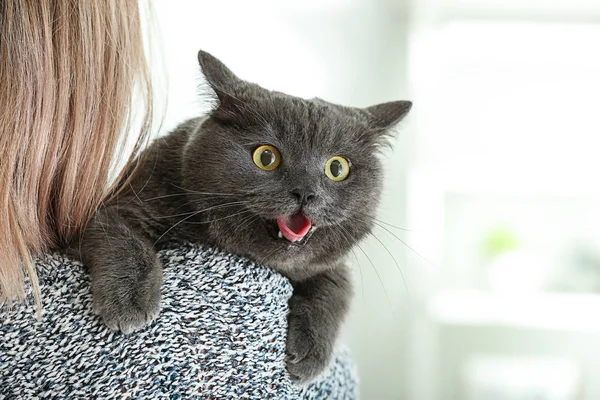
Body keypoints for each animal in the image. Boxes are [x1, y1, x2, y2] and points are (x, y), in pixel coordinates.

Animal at [79, 50, 412, 384]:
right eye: (266, 157)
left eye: (337, 168)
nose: (305, 192)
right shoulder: (127, 202)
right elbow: (125, 240)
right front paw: (129, 301)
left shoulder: (331, 262)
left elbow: (337, 286)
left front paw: (311, 355)